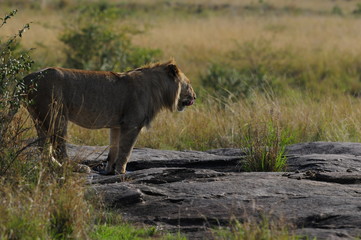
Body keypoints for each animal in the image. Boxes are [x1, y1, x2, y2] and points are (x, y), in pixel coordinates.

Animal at [23, 60, 195, 174]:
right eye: (188, 83)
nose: (195, 96)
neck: (158, 90)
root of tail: (27, 78)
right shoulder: (132, 124)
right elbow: (126, 150)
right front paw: (121, 172)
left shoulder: (117, 125)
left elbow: (114, 148)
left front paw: (108, 169)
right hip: (56, 114)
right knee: (58, 147)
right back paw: (76, 168)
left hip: (40, 117)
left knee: (43, 147)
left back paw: (54, 167)